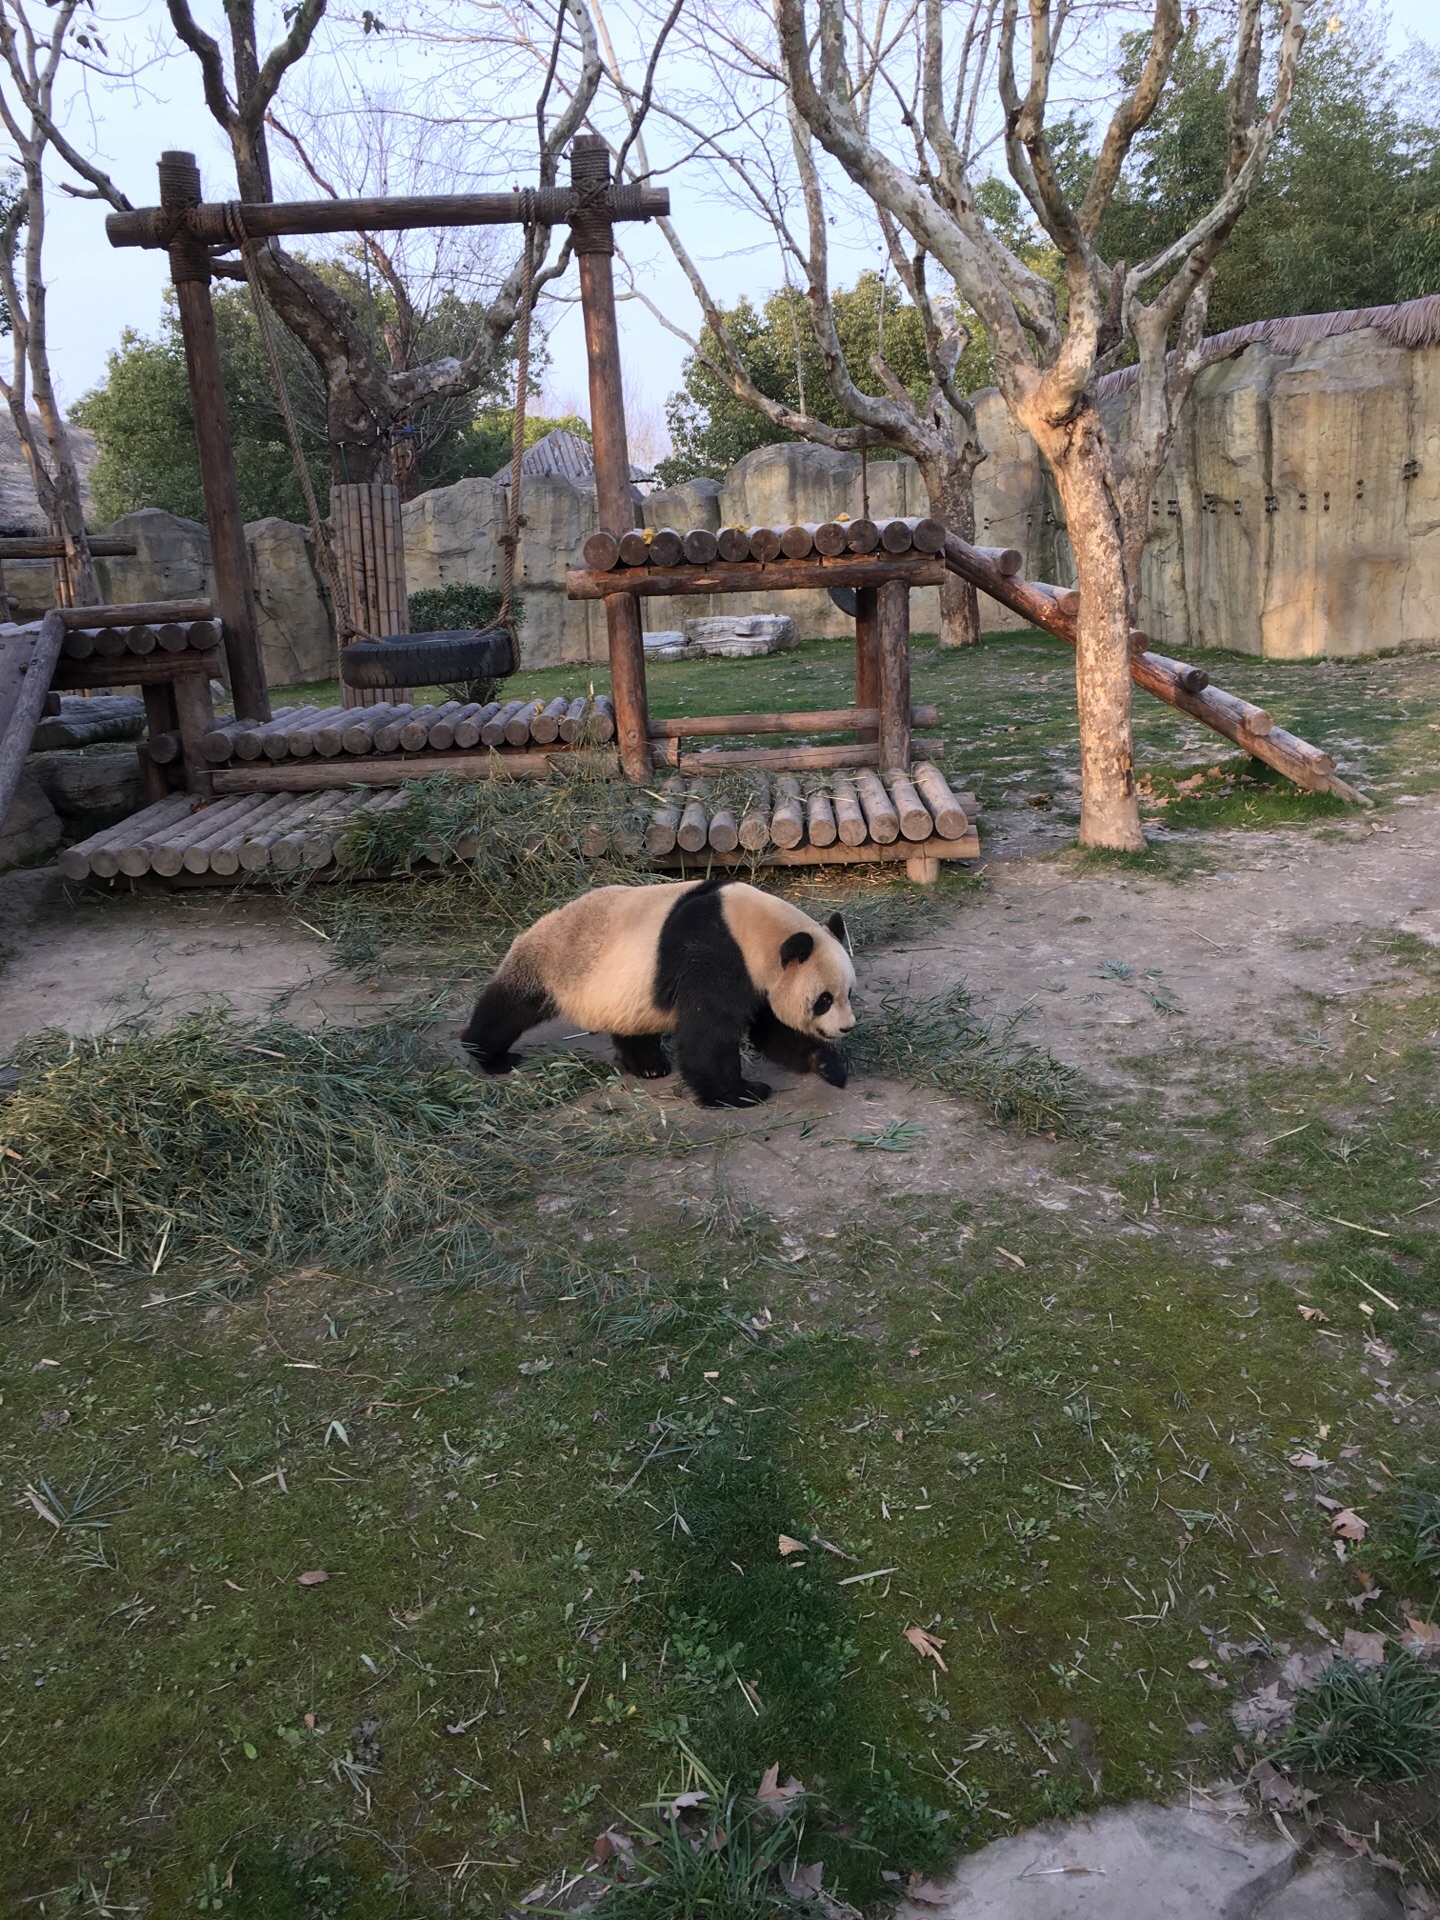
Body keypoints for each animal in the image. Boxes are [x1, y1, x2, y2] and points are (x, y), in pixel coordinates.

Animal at [464, 875, 856, 1105]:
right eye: (823, 1000)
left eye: (848, 993)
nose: (846, 1027)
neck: (757, 931)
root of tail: (534, 927)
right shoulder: (717, 954)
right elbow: (707, 1031)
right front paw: (739, 1094)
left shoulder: (759, 979)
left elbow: (770, 1031)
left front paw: (827, 1065)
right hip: (553, 963)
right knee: (507, 1008)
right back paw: (490, 1056)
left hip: (623, 991)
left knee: (630, 1025)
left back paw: (648, 1066)